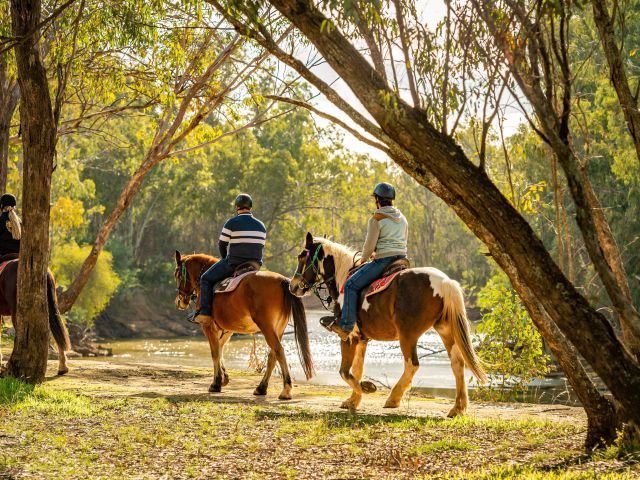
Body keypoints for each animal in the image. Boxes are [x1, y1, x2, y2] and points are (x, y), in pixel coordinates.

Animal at [174, 251, 314, 399]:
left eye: (177, 274)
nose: (179, 301)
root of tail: (282, 281)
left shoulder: (208, 327)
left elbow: (215, 352)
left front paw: (216, 383)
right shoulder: (228, 330)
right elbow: (220, 349)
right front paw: (224, 378)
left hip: (267, 327)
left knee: (278, 350)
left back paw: (286, 390)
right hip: (279, 328)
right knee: (272, 355)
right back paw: (261, 388)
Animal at [289, 233, 488, 415]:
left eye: (302, 256)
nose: (293, 286)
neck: (343, 277)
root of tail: (445, 282)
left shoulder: (348, 336)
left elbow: (344, 371)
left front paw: (365, 389)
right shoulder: (361, 339)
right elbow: (357, 369)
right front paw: (353, 400)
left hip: (408, 335)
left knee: (412, 364)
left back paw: (394, 398)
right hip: (445, 330)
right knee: (457, 363)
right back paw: (458, 407)